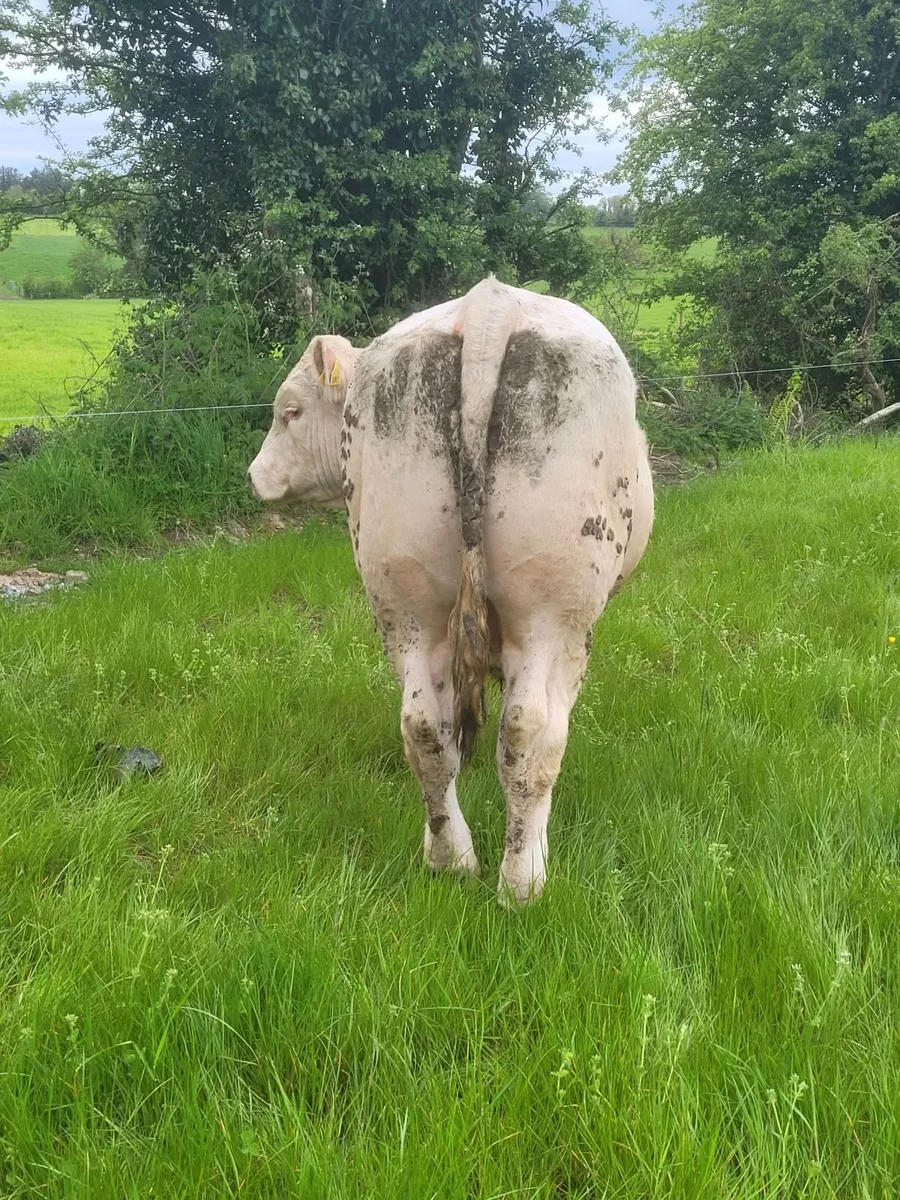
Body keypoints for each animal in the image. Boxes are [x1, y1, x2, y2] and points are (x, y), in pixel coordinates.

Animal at [249, 277, 654, 905]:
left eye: (289, 411)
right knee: (530, 730)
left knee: (422, 726)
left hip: (405, 602)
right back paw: (522, 879)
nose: (252, 475)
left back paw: (449, 857)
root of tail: (487, 304)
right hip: (554, 611)